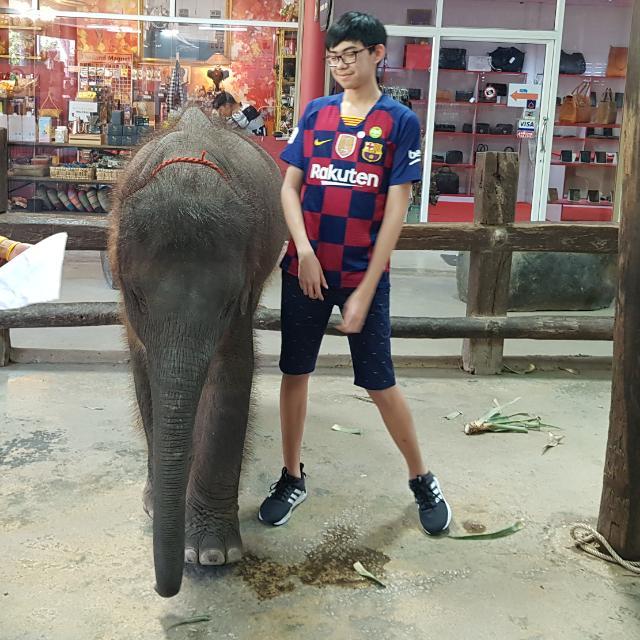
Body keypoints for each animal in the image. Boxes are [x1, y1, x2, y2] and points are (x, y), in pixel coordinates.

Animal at [109, 107, 284, 596]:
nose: (164, 588)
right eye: (136, 296)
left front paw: (210, 554)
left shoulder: (247, 286)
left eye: (227, 303)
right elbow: (144, 375)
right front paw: (159, 506)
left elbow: (232, 375)